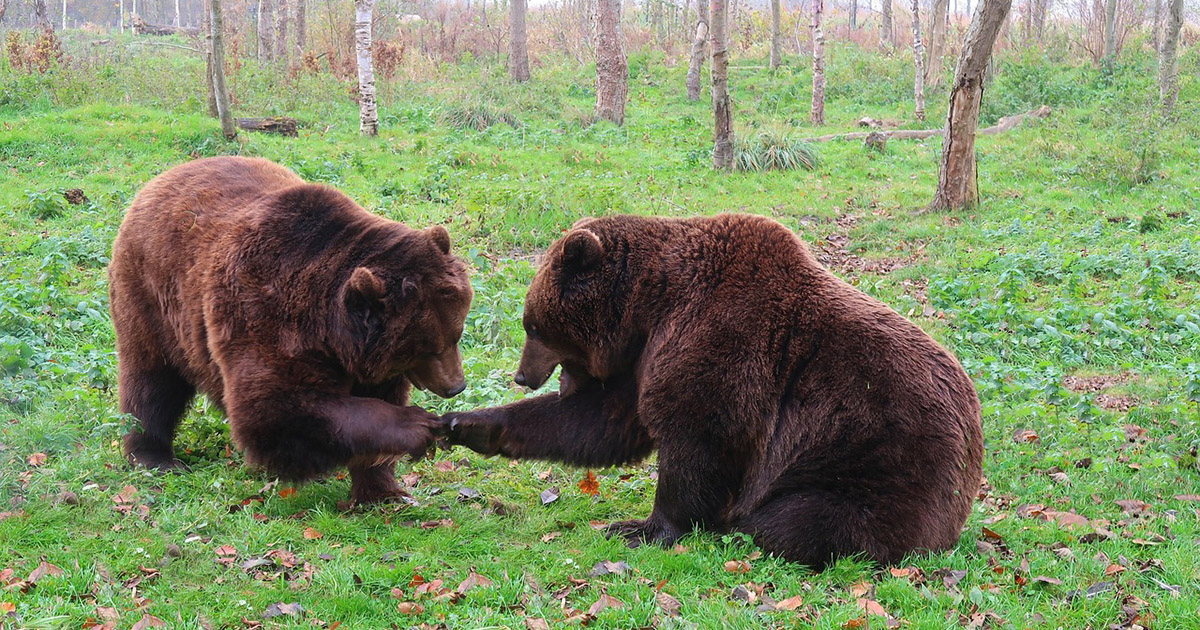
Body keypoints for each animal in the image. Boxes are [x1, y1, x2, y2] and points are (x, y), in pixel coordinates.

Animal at [109, 158, 472, 506]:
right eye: (428, 348)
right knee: (152, 381)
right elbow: (275, 410)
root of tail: (160, 179)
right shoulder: (266, 316)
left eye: (456, 334)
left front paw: (383, 490)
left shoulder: (368, 360)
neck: (330, 332)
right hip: (153, 298)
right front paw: (416, 427)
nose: (456, 386)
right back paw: (154, 455)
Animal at [451, 212, 984, 564]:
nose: (522, 376)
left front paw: (642, 528)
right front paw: (467, 423)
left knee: (797, 523)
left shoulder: (721, 342)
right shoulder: (645, 359)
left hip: (874, 463)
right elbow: (600, 422)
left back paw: (745, 525)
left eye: (533, 325)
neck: (651, 304)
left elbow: (700, 440)